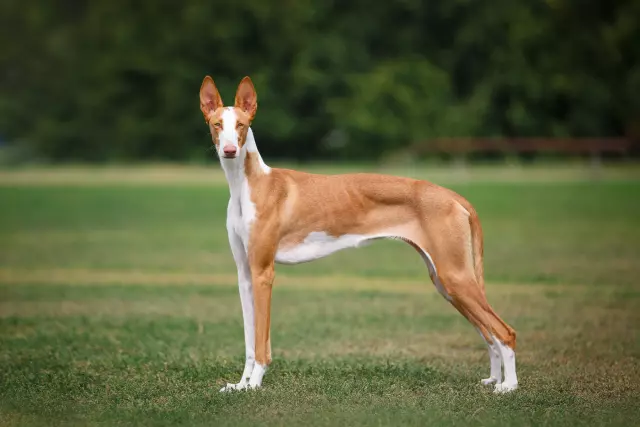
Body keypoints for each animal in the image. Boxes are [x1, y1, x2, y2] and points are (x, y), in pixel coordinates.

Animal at [200, 76, 520, 394]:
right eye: (217, 124)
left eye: (241, 125)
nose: (229, 150)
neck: (248, 184)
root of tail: (454, 196)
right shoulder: (245, 274)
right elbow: (249, 340)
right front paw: (241, 384)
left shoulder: (264, 272)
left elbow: (261, 342)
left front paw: (255, 384)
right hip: (446, 282)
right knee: (488, 334)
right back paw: (494, 379)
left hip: (456, 276)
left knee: (504, 332)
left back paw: (509, 386)